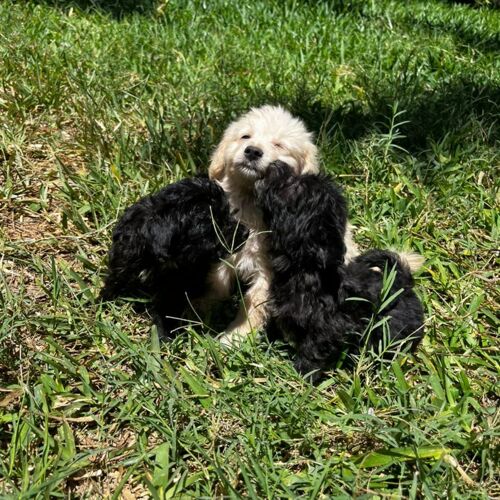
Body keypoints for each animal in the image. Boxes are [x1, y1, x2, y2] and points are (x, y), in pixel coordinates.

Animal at [99, 178, 246, 338]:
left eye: (228, 214)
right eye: (212, 228)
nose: (246, 233)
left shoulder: (176, 284)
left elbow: (168, 308)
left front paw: (164, 334)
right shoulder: (124, 258)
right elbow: (115, 279)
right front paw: (102, 301)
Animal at [208, 104, 360, 348]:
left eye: (279, 145)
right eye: (245, 136)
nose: (252, 151)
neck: (250, 199)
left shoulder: (268, 270)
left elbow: (253, 304)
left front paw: (235, 336)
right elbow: (215, 283)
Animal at [256, 162, 424, 380]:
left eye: (294, 186)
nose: (278, 163)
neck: (305, 270)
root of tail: (401, 280)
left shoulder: (328, 328)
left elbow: (312, 351)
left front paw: (302, 375)